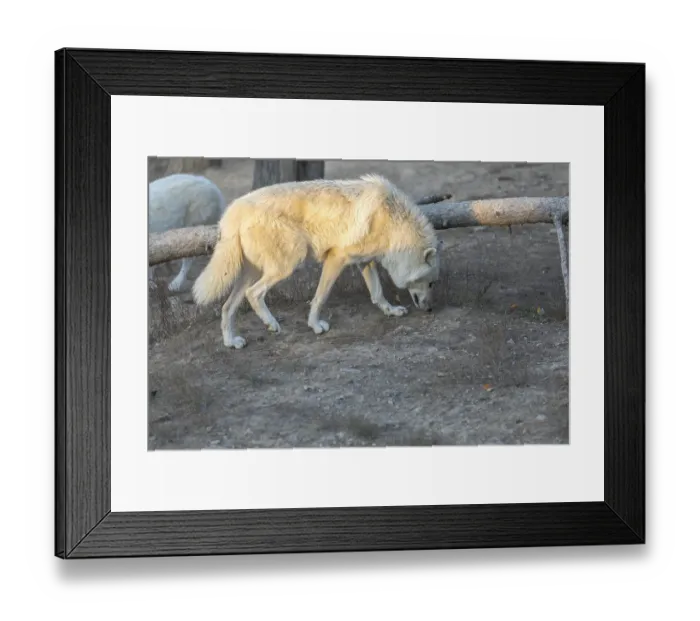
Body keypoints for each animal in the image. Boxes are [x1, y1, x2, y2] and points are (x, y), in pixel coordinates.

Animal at [192, 173, 441, 349]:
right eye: (430, 283)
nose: (430, 309)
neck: (393, 225)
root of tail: (234, 210)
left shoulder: (365, 261)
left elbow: (377, 293)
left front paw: (391, 311)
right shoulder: (336, 258)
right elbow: (320, 297)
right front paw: (316, 326)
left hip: (251, 272)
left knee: (227, 306)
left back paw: (232, 342)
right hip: (290, 261)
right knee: (253, 294)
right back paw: (272, 324)